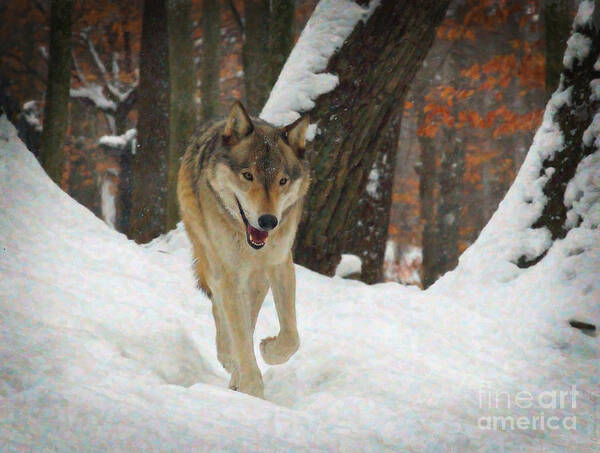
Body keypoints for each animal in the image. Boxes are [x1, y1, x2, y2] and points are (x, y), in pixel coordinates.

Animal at [177, 101, 310, 396]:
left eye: (282, 181)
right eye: (248, 176)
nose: (268, 221)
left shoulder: (279, 263)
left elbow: (291, 336)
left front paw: (269, 351)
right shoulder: (228, 273)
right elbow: (238, 333)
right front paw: (251, 389)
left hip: (257, 279)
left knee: (248, 316)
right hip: (212, 260)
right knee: (220, 309)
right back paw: (228, 357)